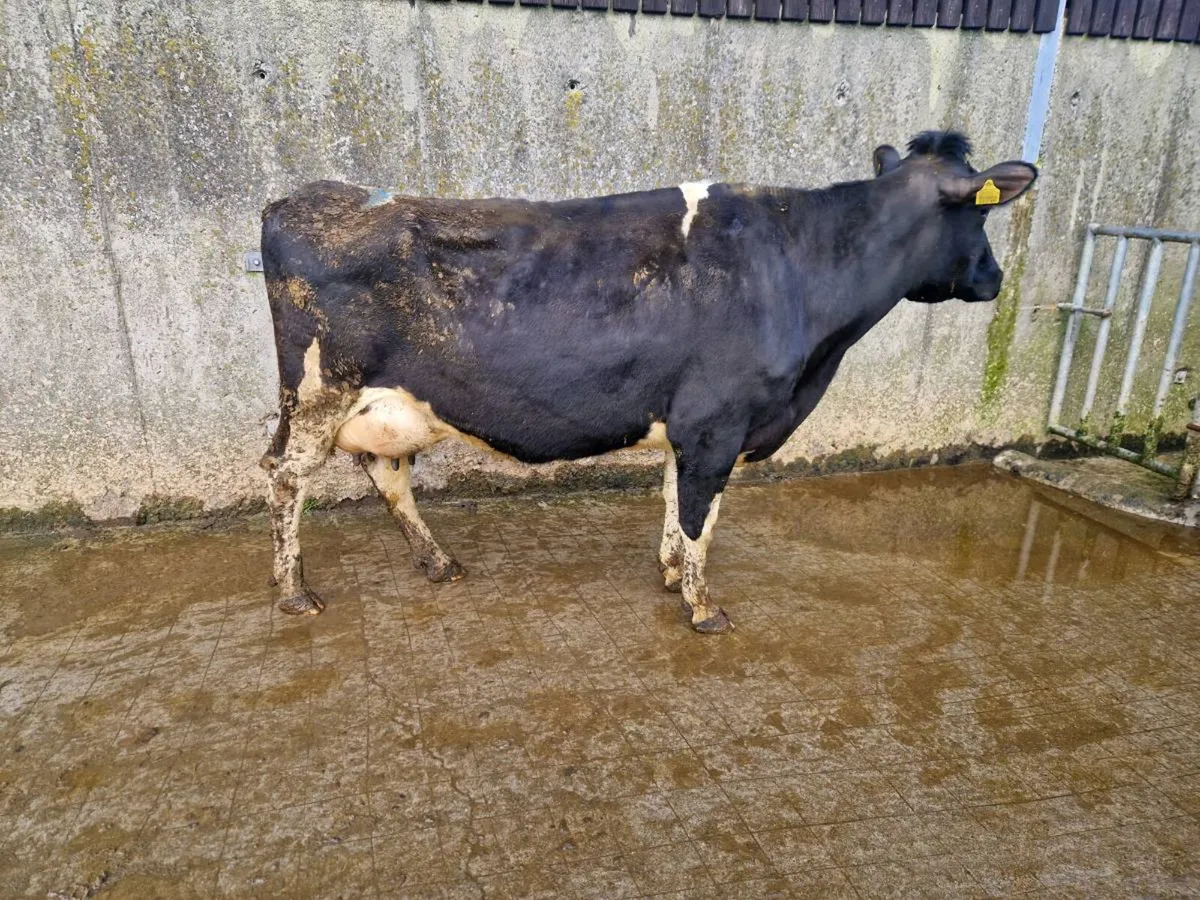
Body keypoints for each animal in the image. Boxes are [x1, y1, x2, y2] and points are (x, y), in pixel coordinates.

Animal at [259, 131, 1036, 634]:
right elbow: (700, 514)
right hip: (319, 390)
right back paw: (295, 593)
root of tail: (307, 198)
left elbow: (677, 501)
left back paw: (439, 562)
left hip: (383, 404)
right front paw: (703, 607)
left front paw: (669, 575)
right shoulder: (719, 421)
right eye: (983, 212)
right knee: (285, 476)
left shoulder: (693, 424)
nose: (997, 278)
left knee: (385, 472)